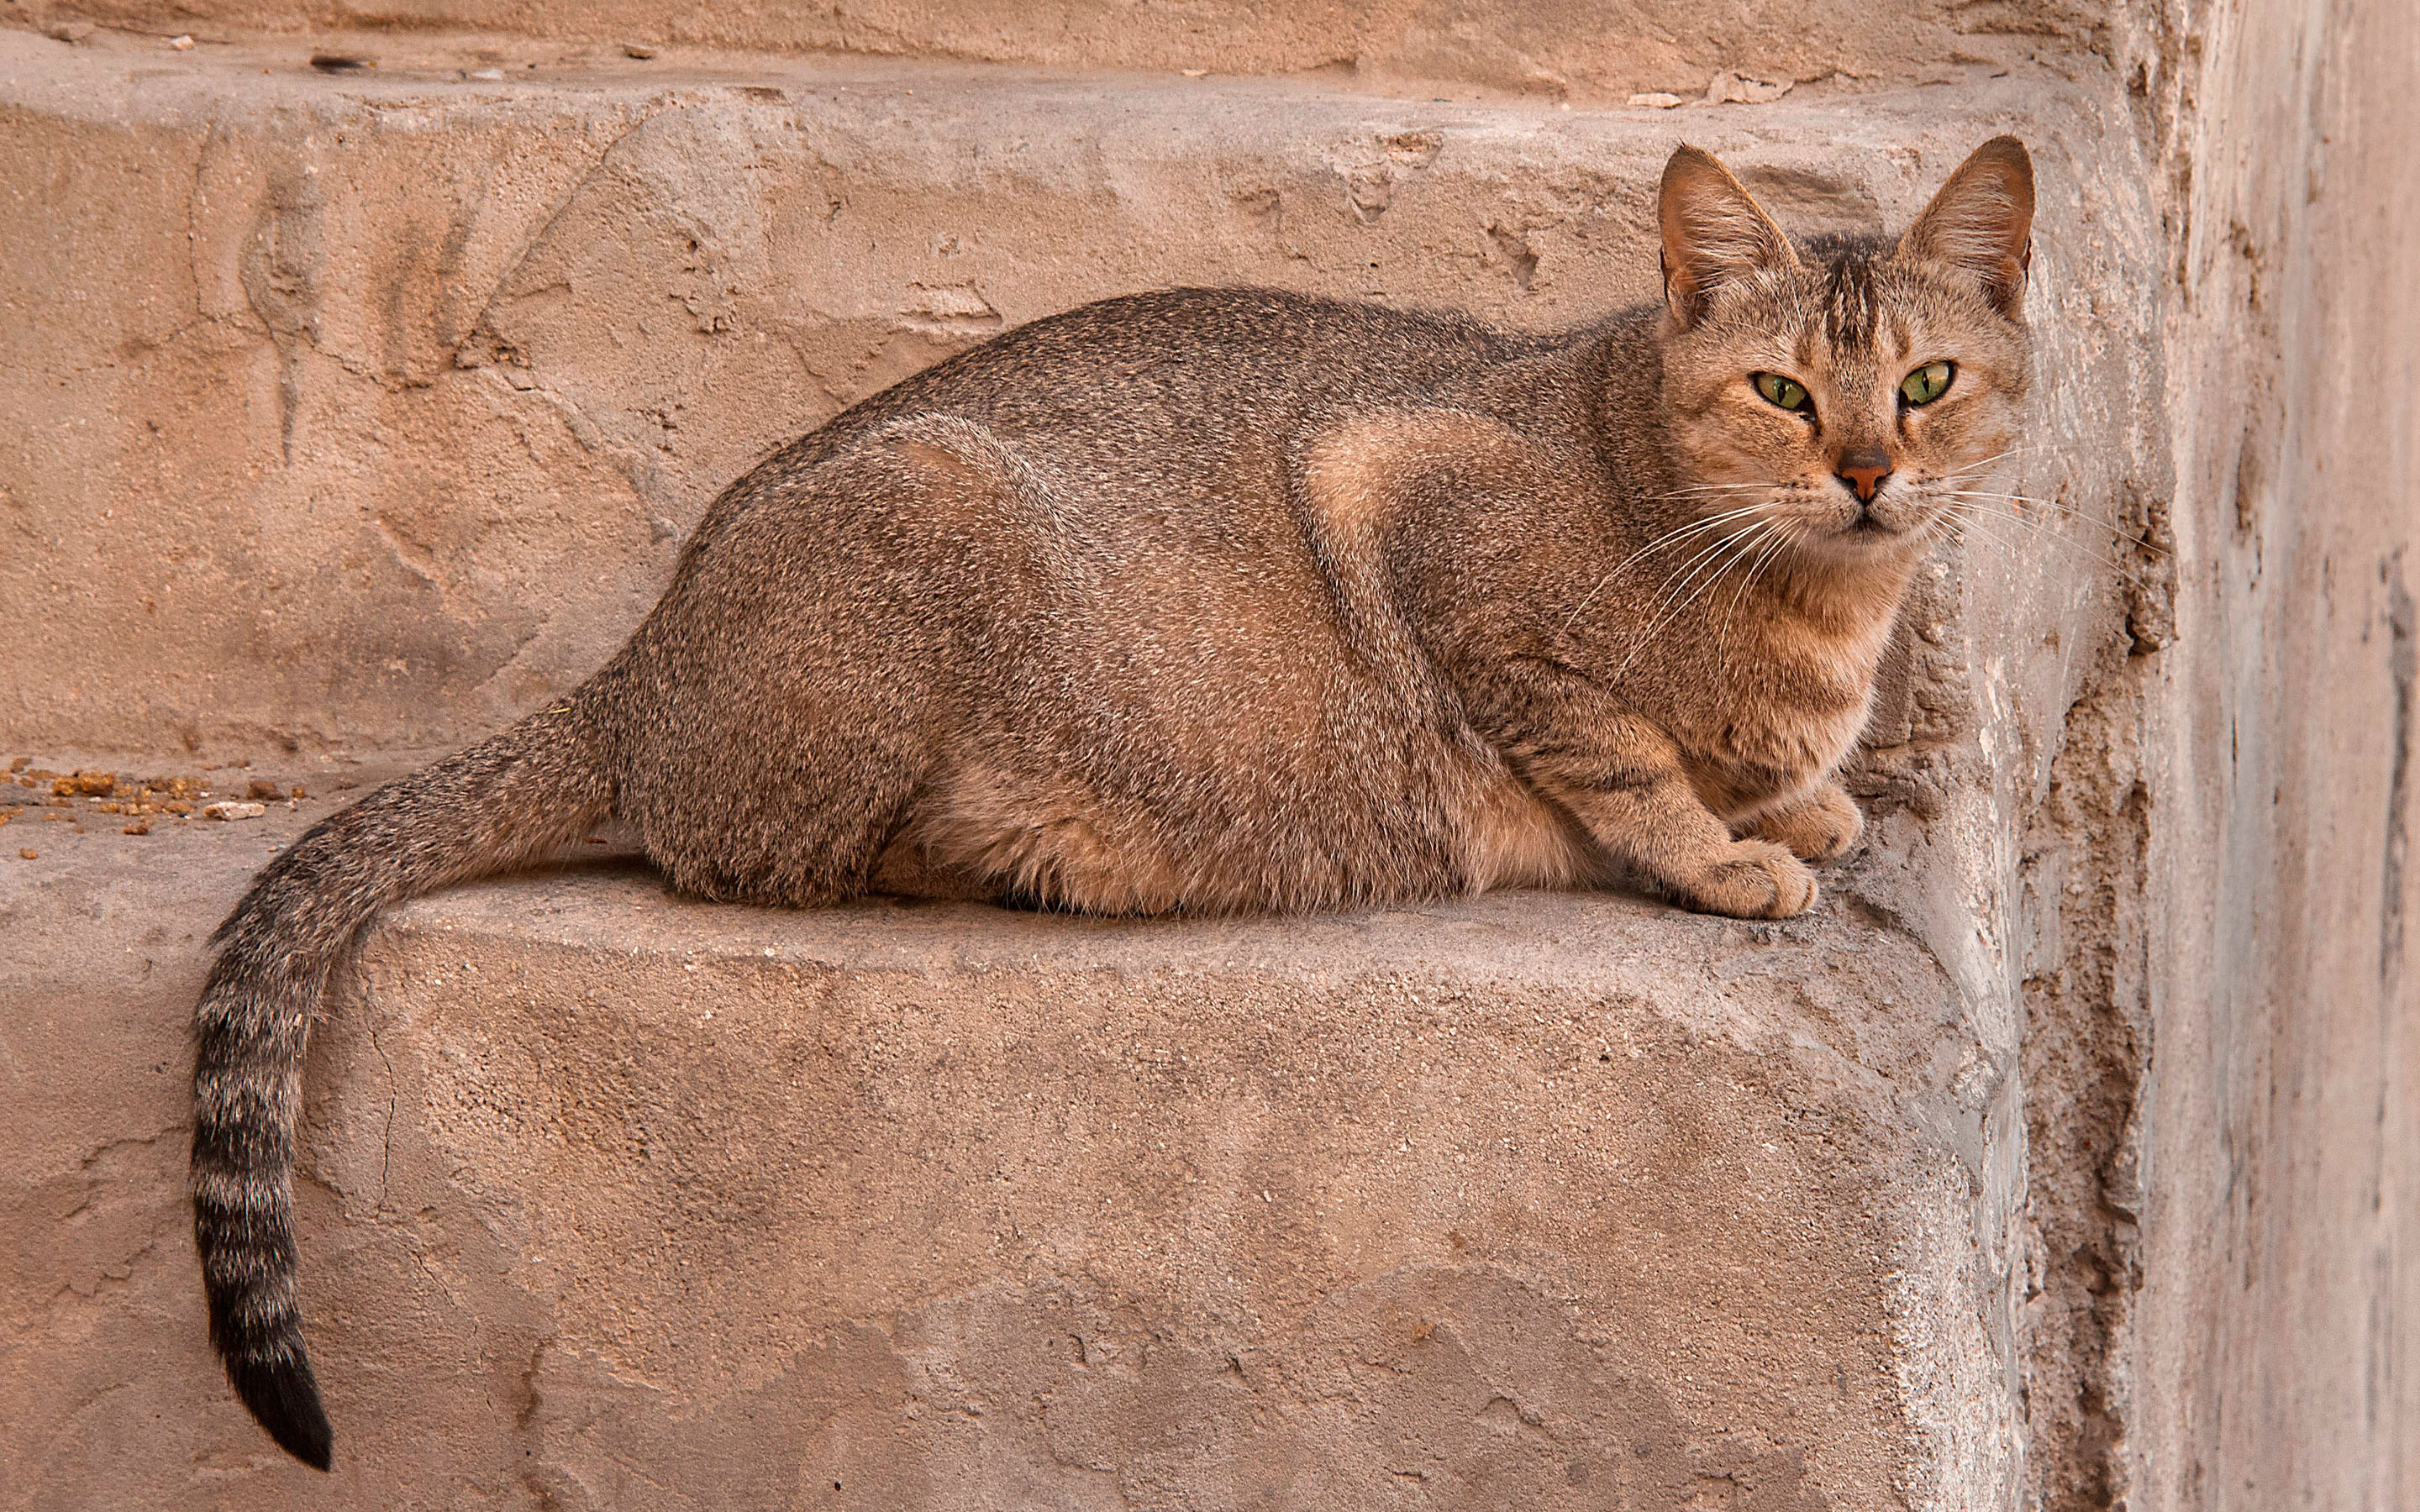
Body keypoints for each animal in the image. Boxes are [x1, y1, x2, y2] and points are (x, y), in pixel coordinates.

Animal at [198, 138, 2033, 1461]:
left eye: (1927, 384)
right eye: (1783, 393)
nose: (1869, 474)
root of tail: (638, 669)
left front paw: (1798, 808)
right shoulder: (1413, 507)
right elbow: (1617, 758)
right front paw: (1727, 852)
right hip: (935, 533)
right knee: (775, 855)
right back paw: (1065, 858)